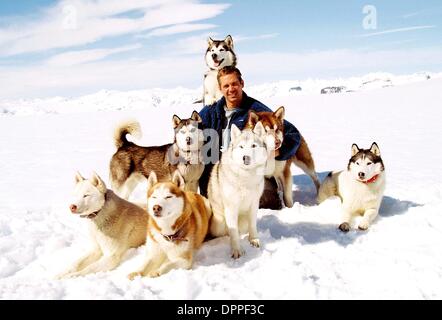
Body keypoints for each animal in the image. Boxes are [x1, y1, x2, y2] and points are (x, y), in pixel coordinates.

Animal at [207, 121, 272, 258]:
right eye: (241, 147)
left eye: (253, 146)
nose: (245, 157)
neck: (246, 176)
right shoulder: (231, 207)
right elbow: (234, 232)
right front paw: (237, 250)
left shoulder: (254, 204)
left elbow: (253, 226)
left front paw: (254, 240)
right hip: (219, 224)